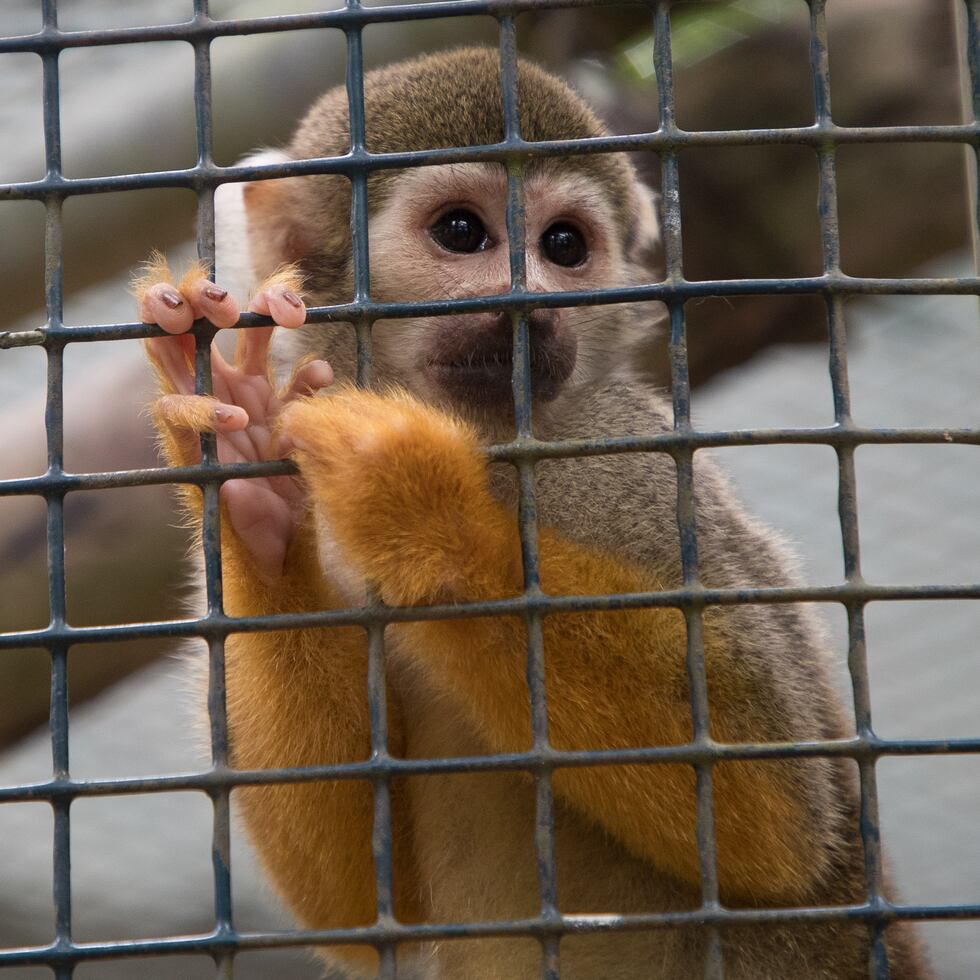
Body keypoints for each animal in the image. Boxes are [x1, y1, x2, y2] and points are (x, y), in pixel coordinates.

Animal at [134, 47, 932, 980]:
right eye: (462, 233)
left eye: (563, 246)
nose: (535, 298)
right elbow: (366, 902)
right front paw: (255, 479)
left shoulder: (626, 462)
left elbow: (777, 816)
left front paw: (420, 509)